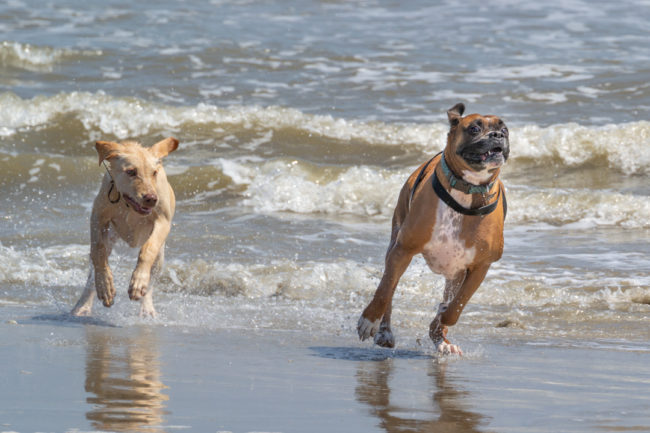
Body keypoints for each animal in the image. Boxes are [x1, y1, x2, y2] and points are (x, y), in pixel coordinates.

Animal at [71, 137, 178, 316]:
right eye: (131, 172)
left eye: (154, 173)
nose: (151, 198)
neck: (128, 205)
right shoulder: (98, 217)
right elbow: (98, 251)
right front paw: (105, 286)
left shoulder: (162, 221)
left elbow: (148, 249)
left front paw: (138, 282)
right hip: (109, 236)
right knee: (92, 272)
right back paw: (83, 305)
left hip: (160, 257)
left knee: (152, 278)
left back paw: (147, 309)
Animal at [356, 104, 508, 354]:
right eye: (475, 129)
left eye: (504, 129)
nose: (498, 135)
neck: (467, 189)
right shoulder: (403, 249)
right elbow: (384, 290)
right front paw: (369, 321)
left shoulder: (480, 266)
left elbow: (456, 307)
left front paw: (441, 321)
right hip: (395, 244)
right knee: (390, 290)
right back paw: (384, 332)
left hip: (455, 272)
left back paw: (441, 339)